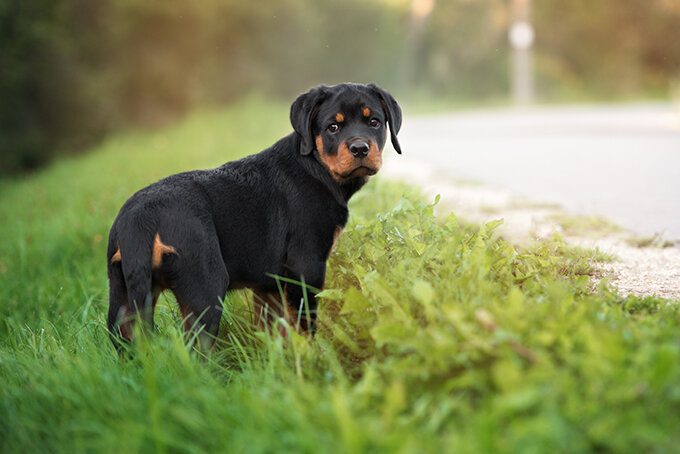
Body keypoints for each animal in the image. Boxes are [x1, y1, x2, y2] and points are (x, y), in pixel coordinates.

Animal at [106, 82, 402, 352]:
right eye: (333, 127)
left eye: (374, 122)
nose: (360, 148)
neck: (316, 167)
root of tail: (140, 217)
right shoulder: (306, 264)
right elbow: (303, 324)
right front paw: (311, 358)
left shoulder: (269, 283)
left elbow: (275, 328)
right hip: (205, 283)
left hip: (121, 292)